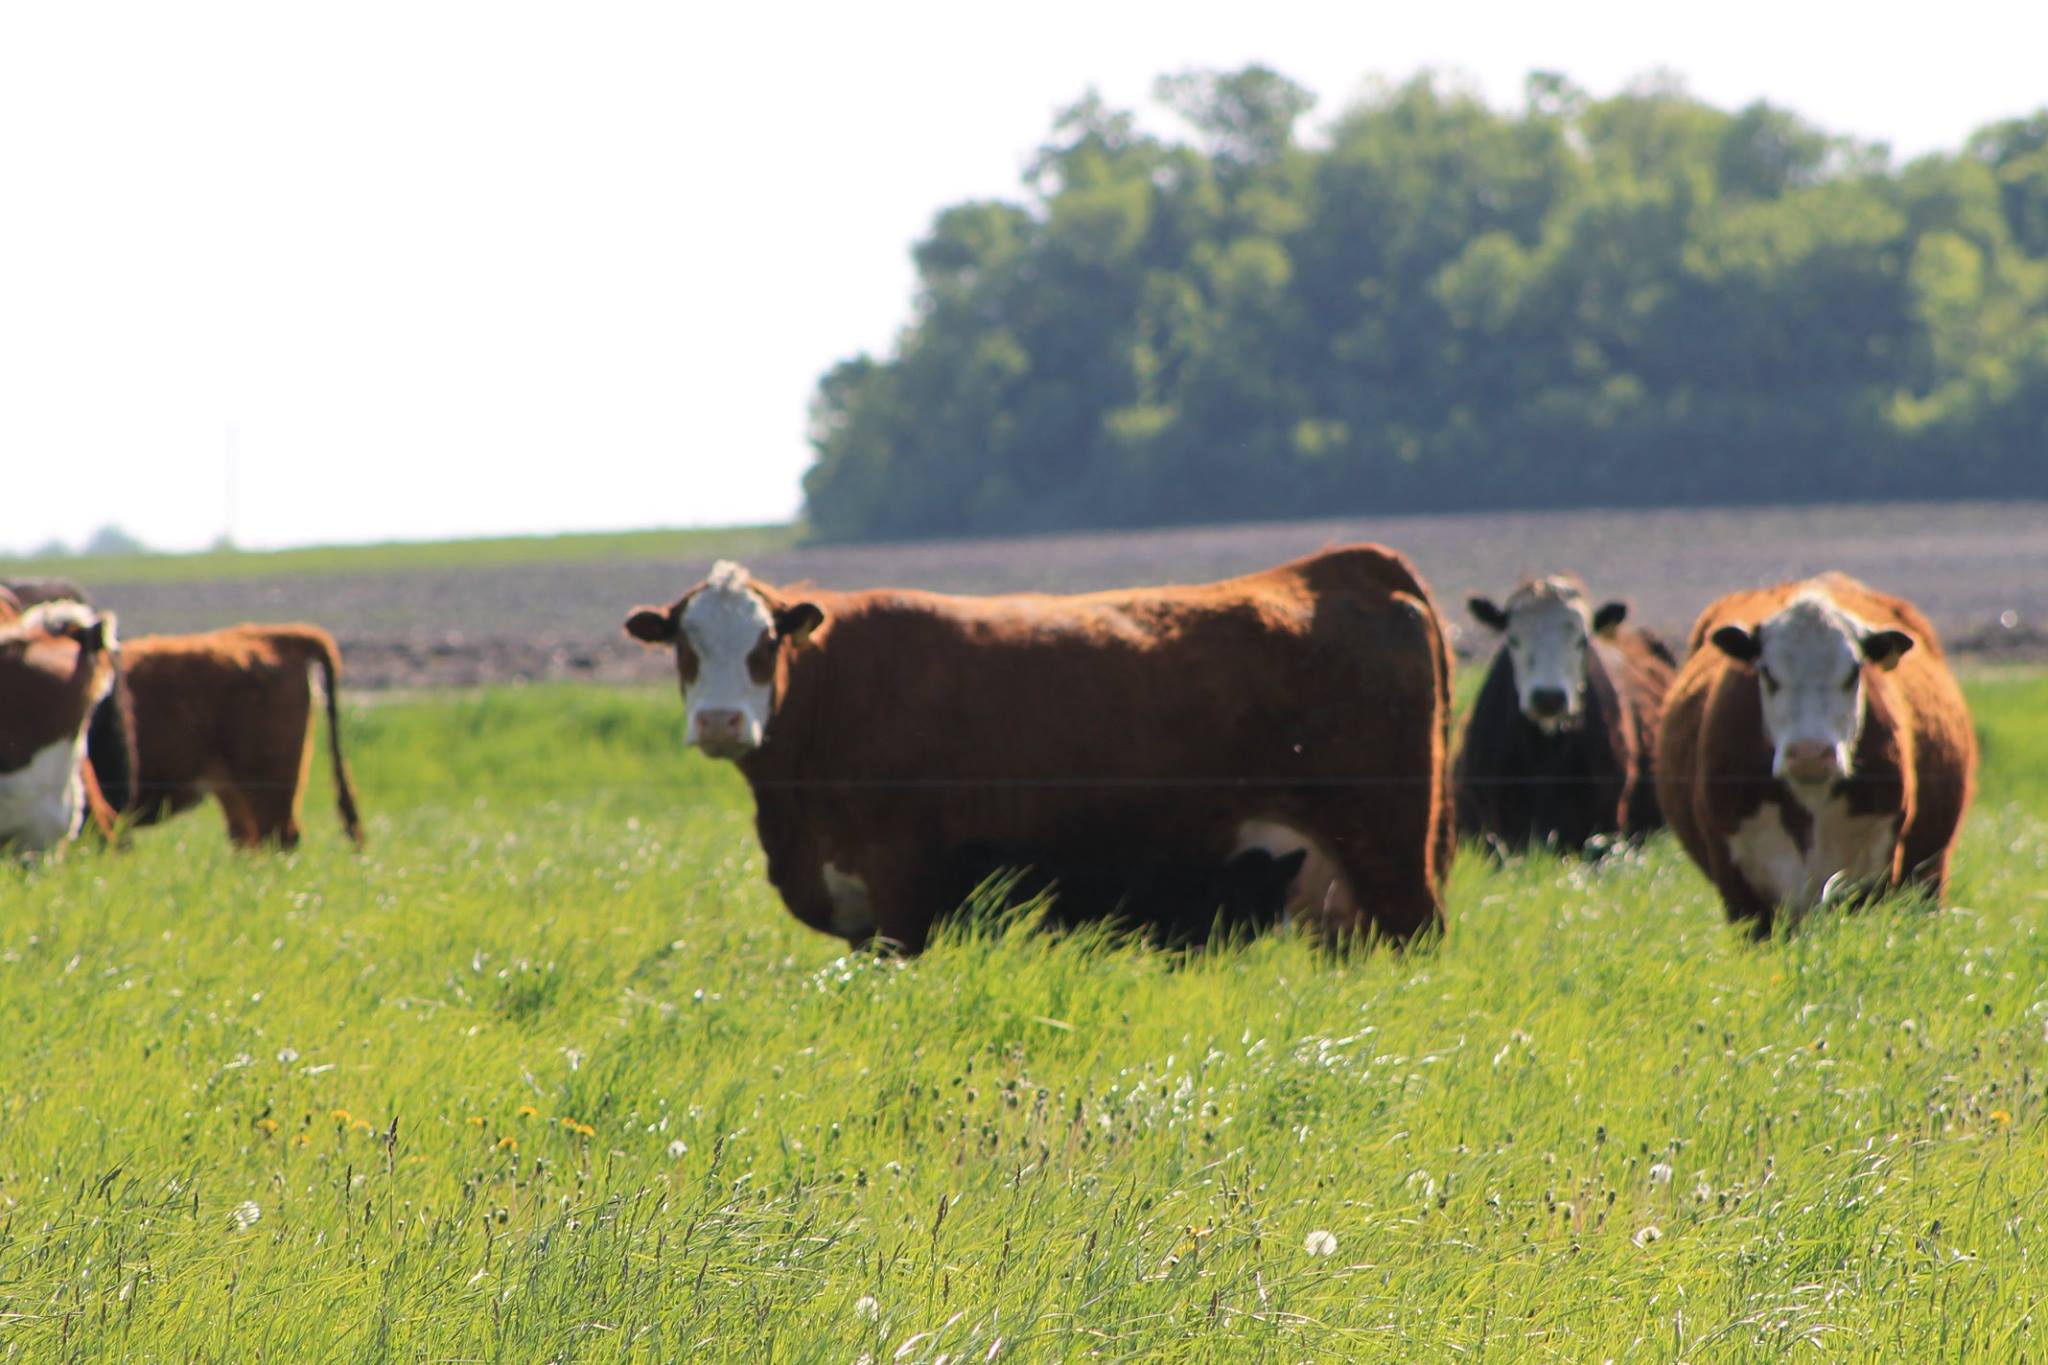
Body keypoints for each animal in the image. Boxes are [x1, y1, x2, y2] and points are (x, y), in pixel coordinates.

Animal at [1656, 573, 1976, 936]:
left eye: (1853, 673)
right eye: (1767, 673)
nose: (1809, 752)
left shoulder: (1873, 874)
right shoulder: (1739, 886)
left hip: (1929, 876)